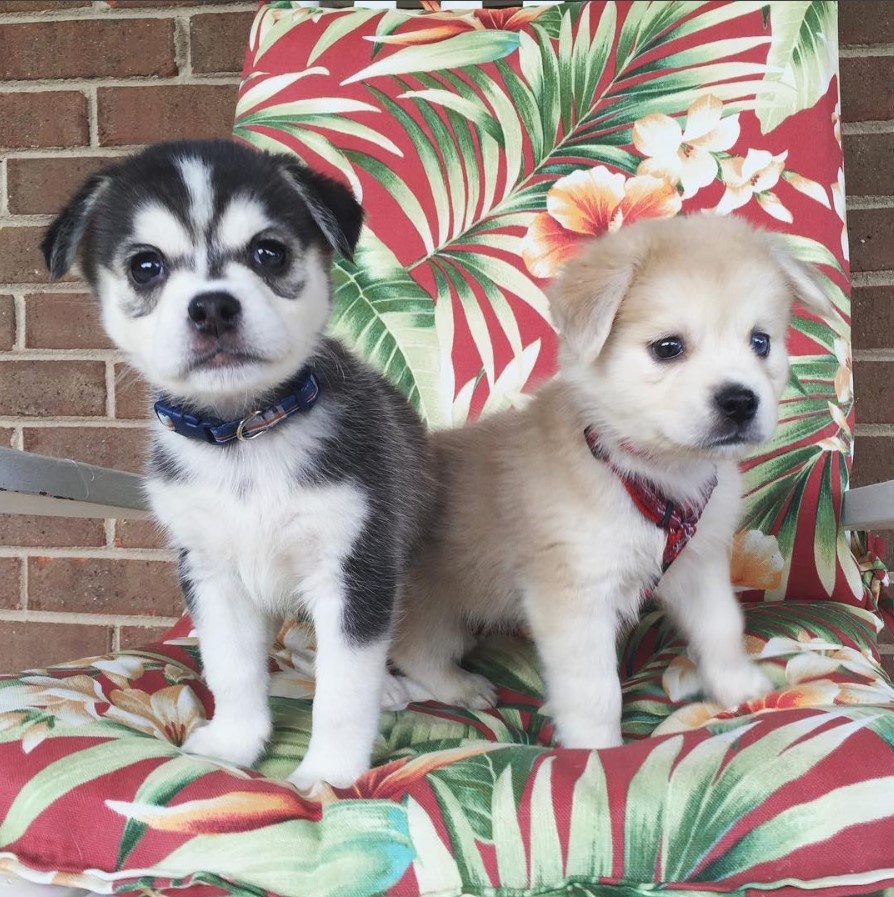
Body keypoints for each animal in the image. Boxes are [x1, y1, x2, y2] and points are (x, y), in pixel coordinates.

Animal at [42, 138, 434, 792]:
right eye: (146, 266)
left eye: (268, 252)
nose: (212, 308)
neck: (242, 440)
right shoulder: (210, 573)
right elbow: (231, 669)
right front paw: (233, 744)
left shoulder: (353, 570)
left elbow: (343, 691)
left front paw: (329, 774)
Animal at [392, 215, 832, 748]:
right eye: (668, 348)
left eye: (760, 341)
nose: (740, 401)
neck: (650, 474)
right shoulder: (576, 600)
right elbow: (595, 692)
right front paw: (597, 751)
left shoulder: (699, 567)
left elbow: (722, 630)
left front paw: (738, 686)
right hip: (434, 613)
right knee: (416, 653)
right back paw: (458, 687)